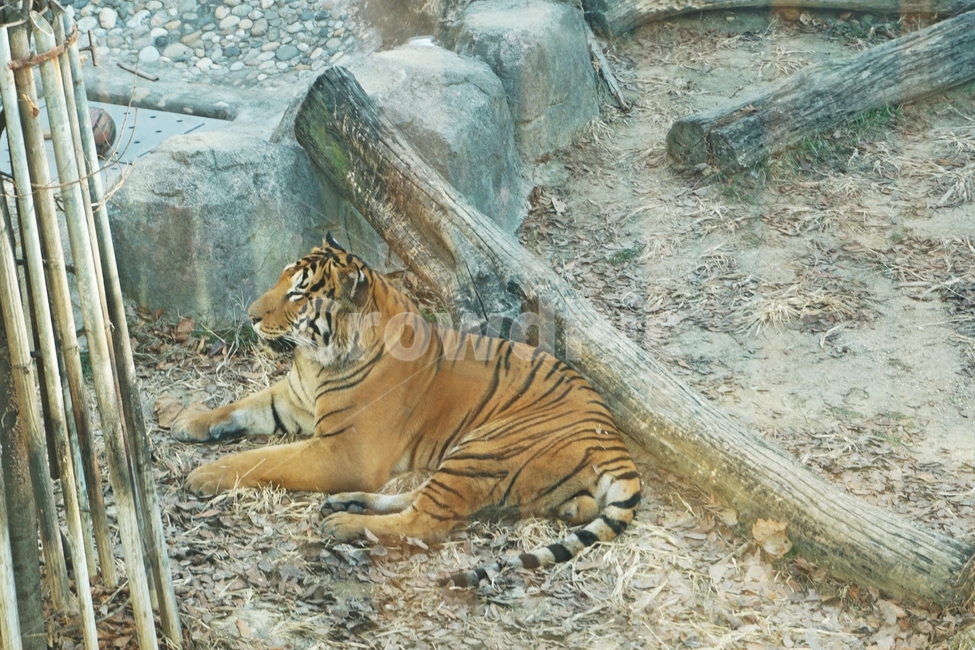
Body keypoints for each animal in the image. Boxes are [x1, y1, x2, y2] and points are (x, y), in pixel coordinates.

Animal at [174, 234, 641, 586]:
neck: (317, 362)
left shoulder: (344, 451)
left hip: (484, 447)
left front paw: (206, 473)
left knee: (427, 521)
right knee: (420, 497)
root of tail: (615, 442)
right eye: (281, 279)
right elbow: (238, 407)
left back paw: (343, 524)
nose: (250, 316)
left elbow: (265, 458)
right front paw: (187, 421)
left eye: (298, 293)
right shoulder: (292, 398)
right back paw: (348, 504)